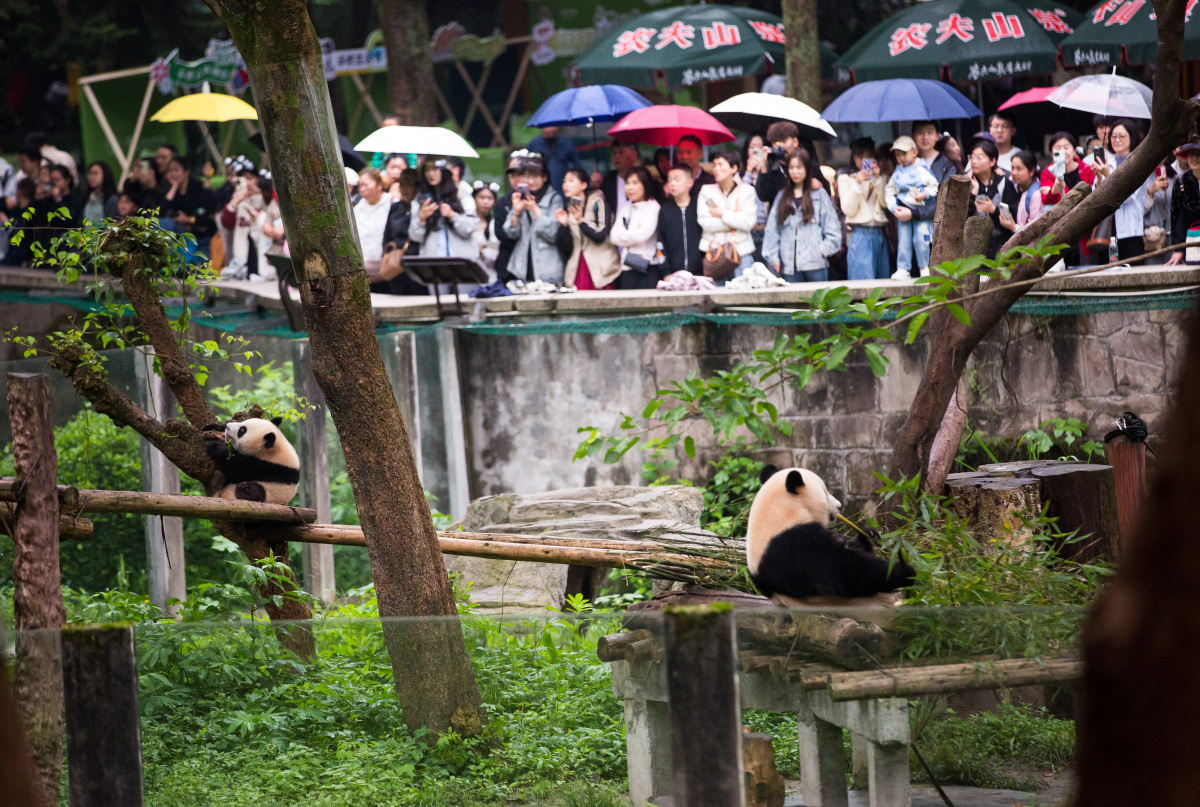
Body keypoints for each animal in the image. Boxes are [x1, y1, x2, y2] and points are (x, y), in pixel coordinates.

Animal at [744, 463, 912, 607]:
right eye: (825, 493)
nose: (839, 506)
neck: (780, 510)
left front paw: (868, 534)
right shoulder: (794, 546)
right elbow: (845, 573)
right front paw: (904, 571)